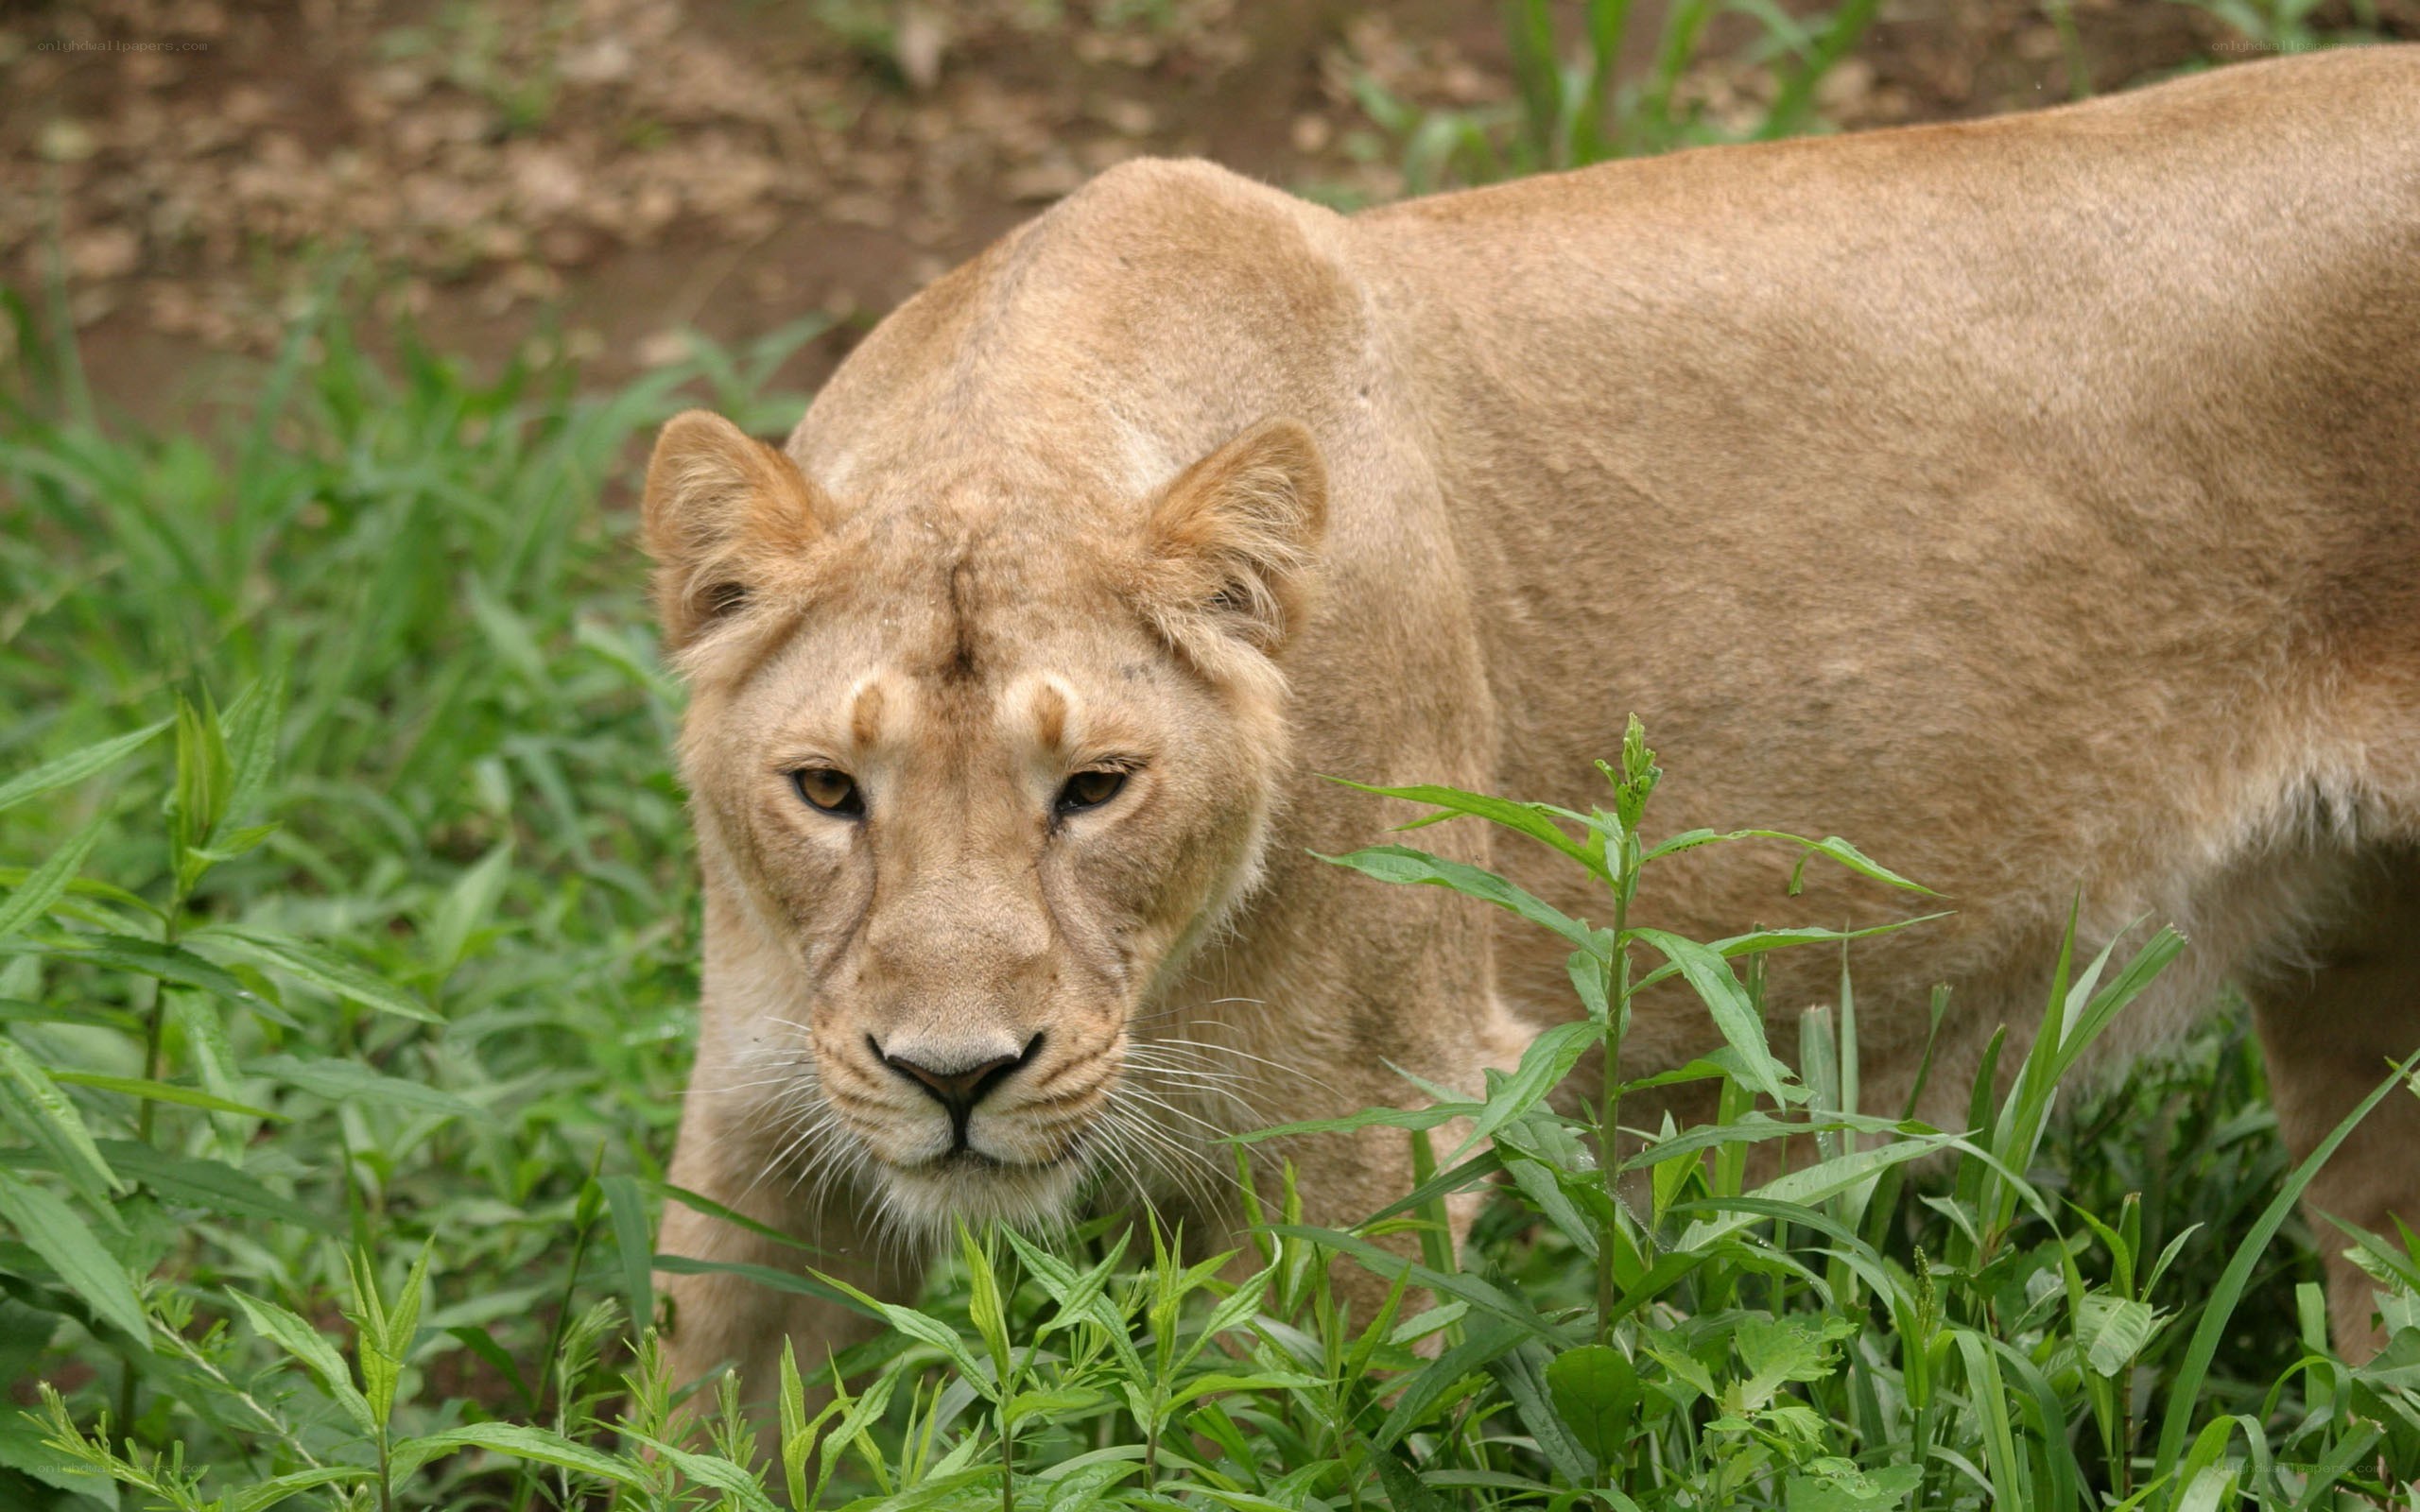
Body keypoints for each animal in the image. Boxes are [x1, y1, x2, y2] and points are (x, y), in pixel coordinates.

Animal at [645, 44, 2420, 1399]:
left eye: (1095, 789)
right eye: (825, 791)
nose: (954, 1075)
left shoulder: (1372, 1137)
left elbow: (1299, 1438)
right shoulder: (766, 1123)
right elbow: (702, 1421)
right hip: (2365, 965)